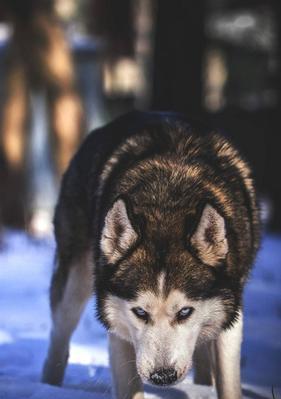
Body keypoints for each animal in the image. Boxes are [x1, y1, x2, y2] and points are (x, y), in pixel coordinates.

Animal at [42, 111, 260, 399]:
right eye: (140, 312)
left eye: (185, 312)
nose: (163, 376)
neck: (168, 203)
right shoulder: (117, 325)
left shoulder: (231, 312)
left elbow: (228, 382)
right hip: (73, 286)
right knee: (59, 339)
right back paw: (46, 386)